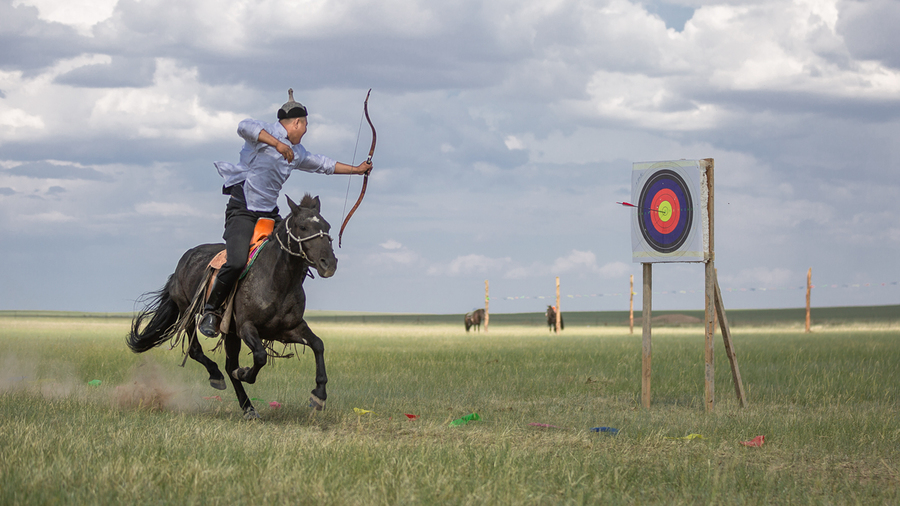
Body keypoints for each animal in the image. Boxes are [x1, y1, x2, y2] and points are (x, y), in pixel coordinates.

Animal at [126, 194, 338, 420]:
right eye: (302, 227)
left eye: (327, 226)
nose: (329, 263)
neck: (276, 280)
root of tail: (182, 263)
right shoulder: (247, 327)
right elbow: (260, 356)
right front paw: (245, 372)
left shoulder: (288, 329)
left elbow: (318, 345)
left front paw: (319, 395)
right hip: (189, 313)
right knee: (197, 351)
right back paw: (217, 376)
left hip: (230, 331)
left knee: (229, 366)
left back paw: (248, 407)